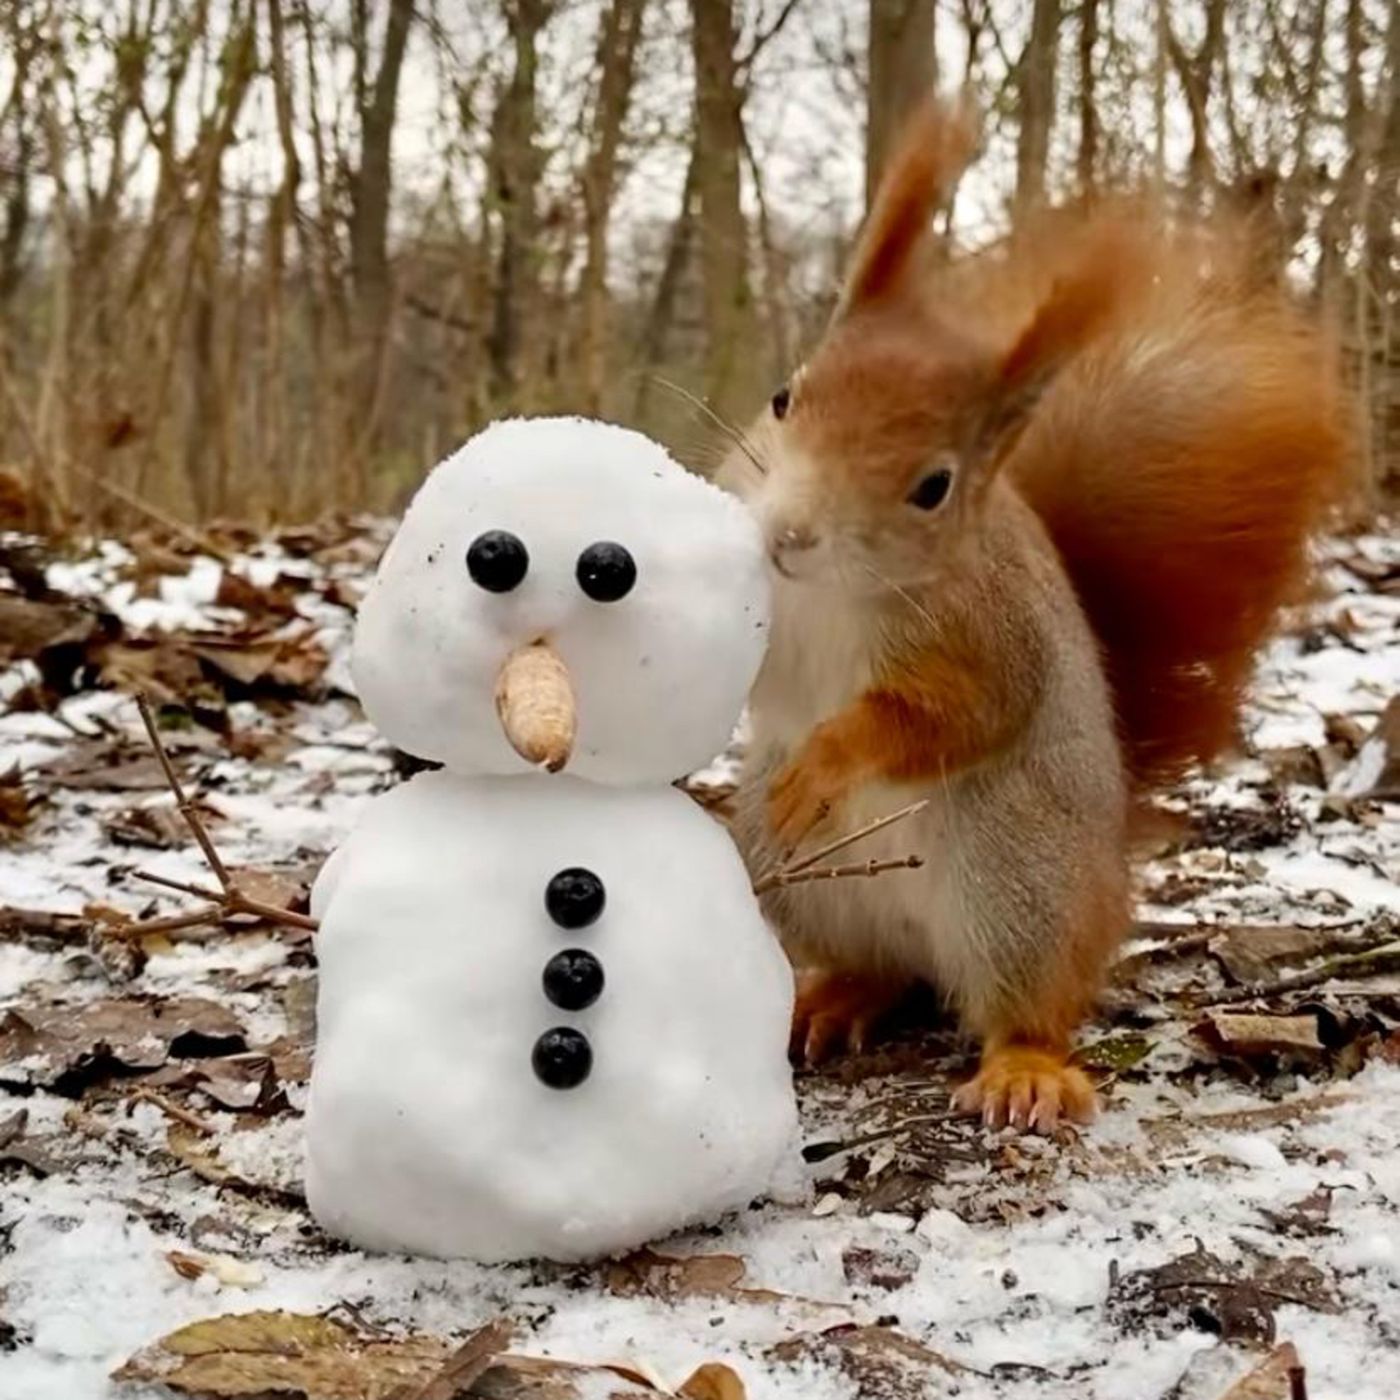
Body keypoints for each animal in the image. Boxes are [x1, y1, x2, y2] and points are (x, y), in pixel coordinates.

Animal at [716, 98, 1350, 1132]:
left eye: (934, 486)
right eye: (783, 396)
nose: (791, 536)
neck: (829, 594)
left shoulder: (993, 637)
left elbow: (956, 715)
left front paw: (830, 758)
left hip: (1018, 883)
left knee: (1027, 1003)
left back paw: (1024, 1069)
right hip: (798, 880)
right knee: (878, 968)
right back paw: (831, 998)